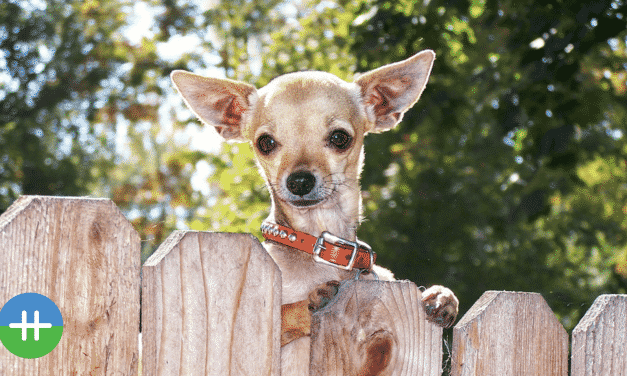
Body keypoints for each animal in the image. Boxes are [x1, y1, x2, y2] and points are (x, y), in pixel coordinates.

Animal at [169, 50, 458, 376]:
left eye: (339, 138)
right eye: (265, 143)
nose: (299, 182)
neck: (321, 248)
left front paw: (441, 296)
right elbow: (285, 313)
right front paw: (312, 304)